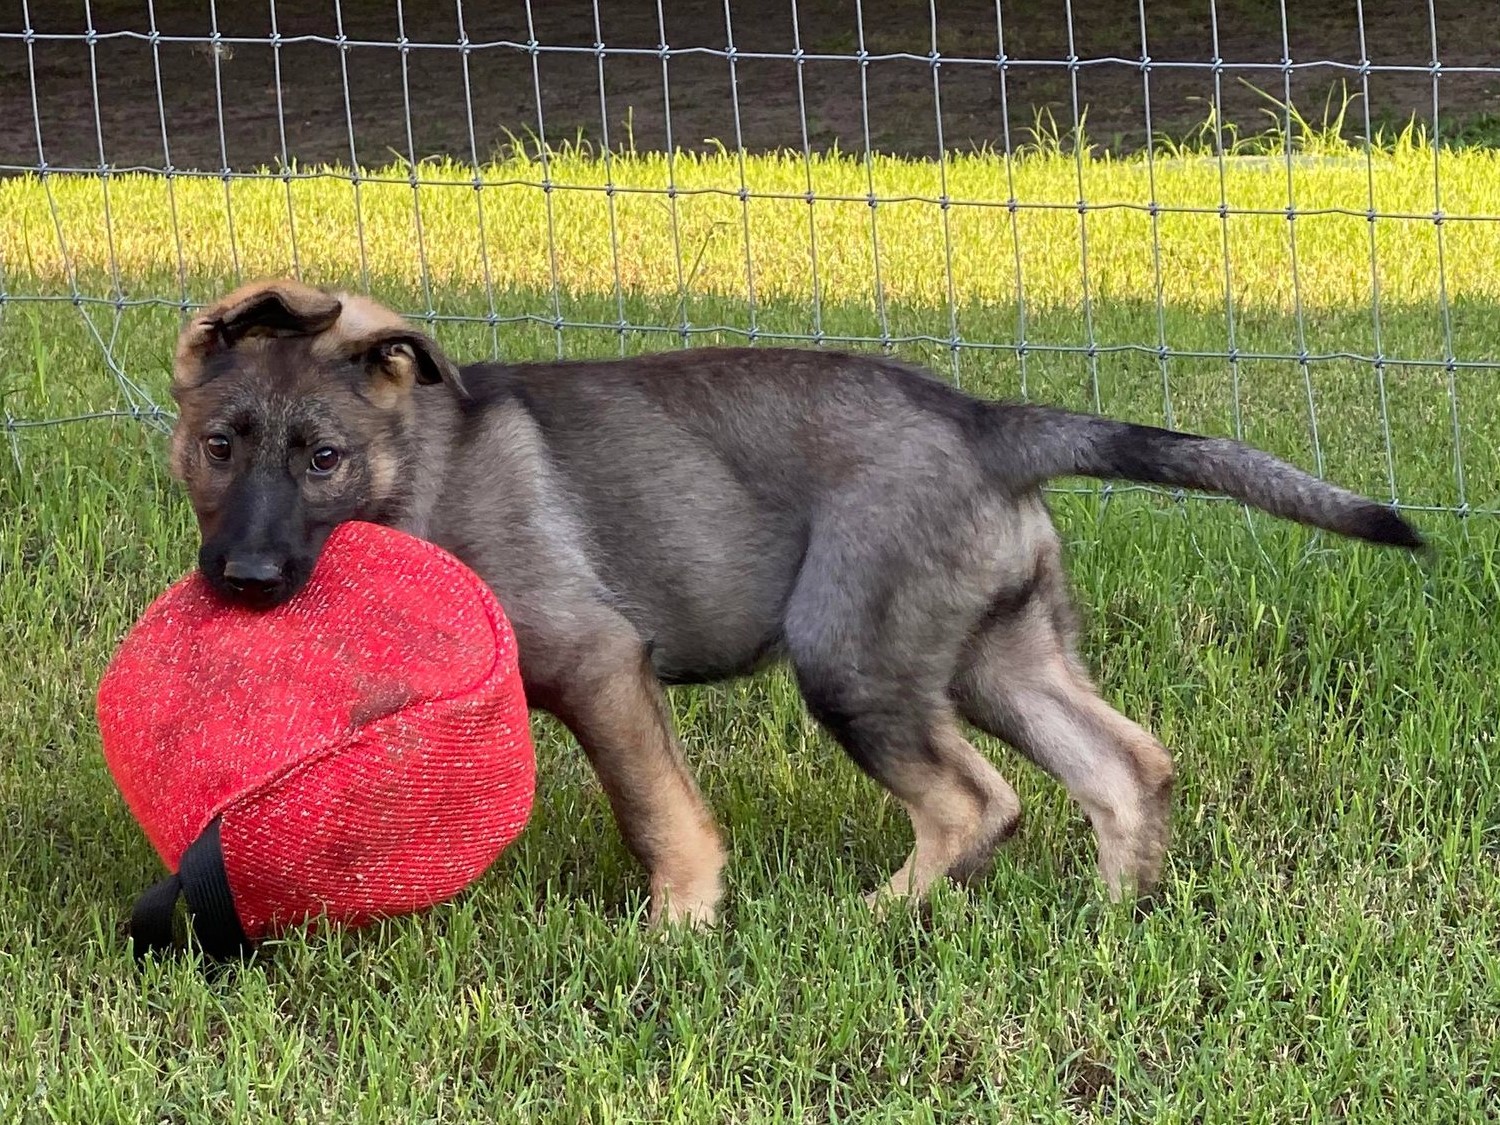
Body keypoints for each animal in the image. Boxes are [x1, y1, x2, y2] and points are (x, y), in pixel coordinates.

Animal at [170, 280, 1422, 924]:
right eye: (218, 447)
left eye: (323, 458)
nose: (246, 584)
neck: (415, 468)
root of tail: (984, 421)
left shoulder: (598, 661)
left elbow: (658, 813)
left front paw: (676, 932)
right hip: (994, 655)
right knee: (1124, 765)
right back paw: (1116, 921)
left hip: (850, 654)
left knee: (976, 804)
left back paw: (876, 919)